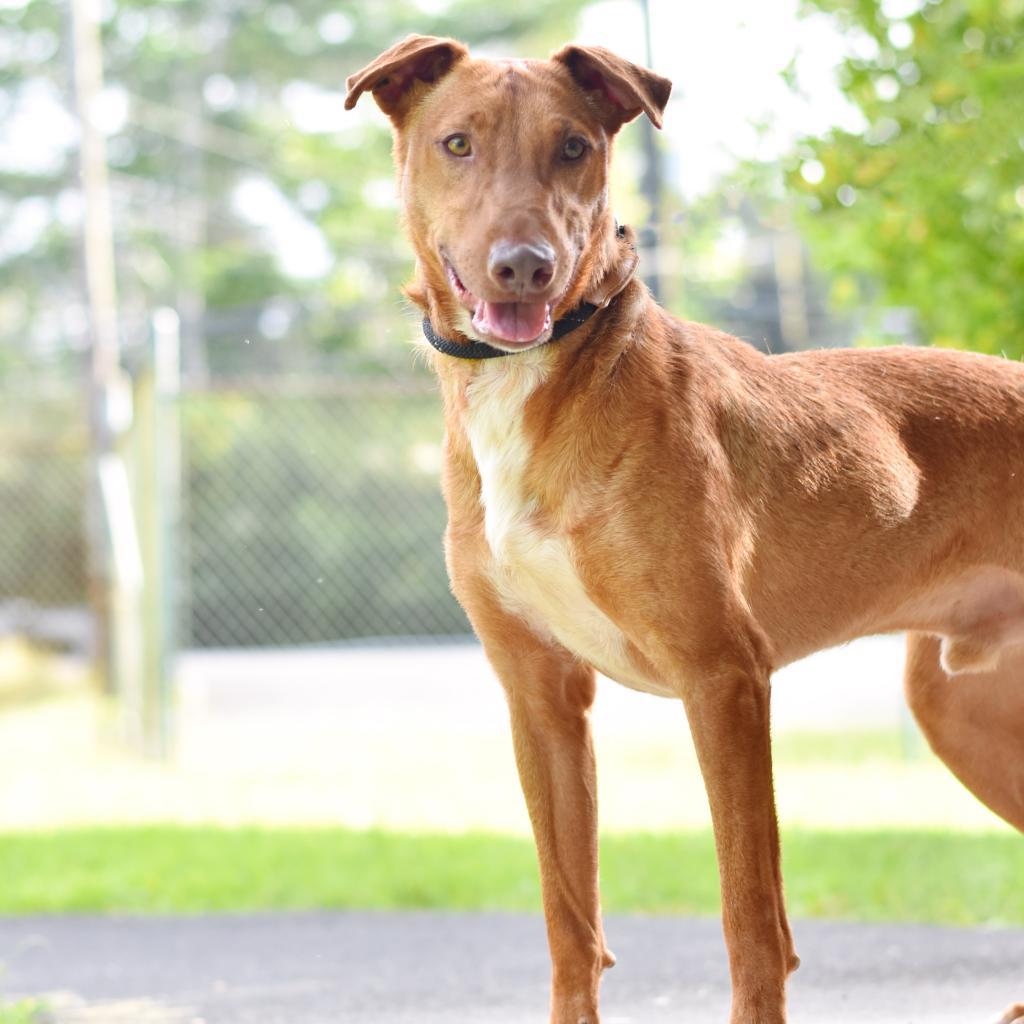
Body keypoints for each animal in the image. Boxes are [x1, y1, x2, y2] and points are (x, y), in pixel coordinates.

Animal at [346, 34, 1024, 1024]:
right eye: (457, 143)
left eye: (574, 148)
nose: (525, 266)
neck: (545, 381)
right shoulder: (541, 698)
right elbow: (570, 925)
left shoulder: (725, 677)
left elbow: (751, 922)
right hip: (961, 709)